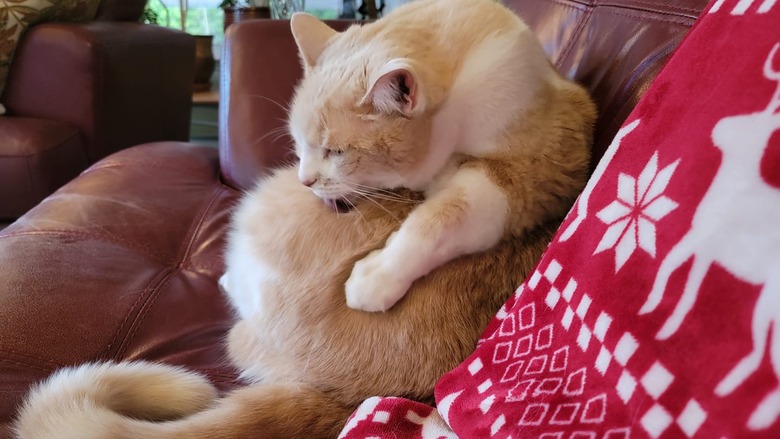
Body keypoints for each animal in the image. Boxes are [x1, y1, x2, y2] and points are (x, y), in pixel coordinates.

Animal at [13, 0, 596, 439]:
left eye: (337, 152)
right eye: (300, 145)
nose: (307, 182)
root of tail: (342, 395)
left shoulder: (526, 174)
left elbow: (445, 215)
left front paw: (374, 280)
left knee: (240, 294)